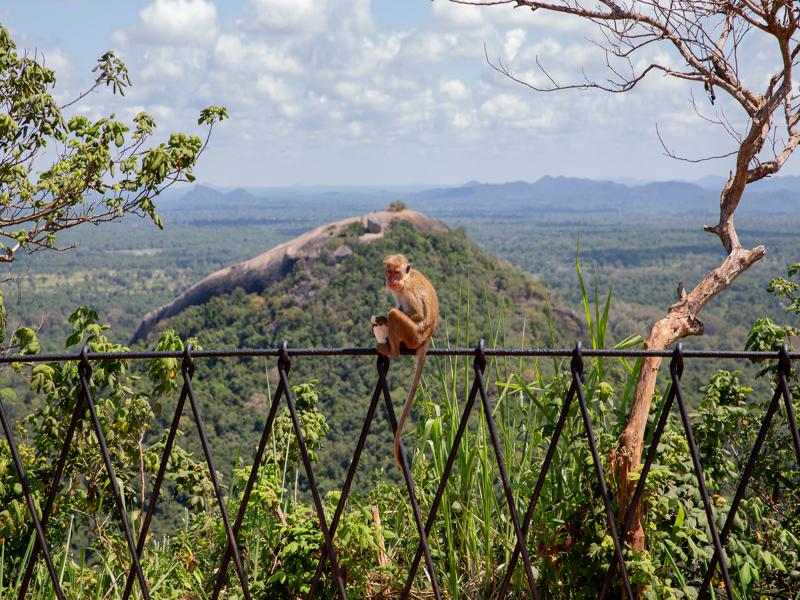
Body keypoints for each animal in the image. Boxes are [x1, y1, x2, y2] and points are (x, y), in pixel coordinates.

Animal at [370, 254, 440, 468]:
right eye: (389, 272)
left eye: (397, 272)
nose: (392, 280)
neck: (405, 280)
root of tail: (425, 339)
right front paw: (380, 319)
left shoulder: (408, 291)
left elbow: (416, 314)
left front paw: (385, 319)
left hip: (413, 335)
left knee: (396, 314)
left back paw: (392, 350)